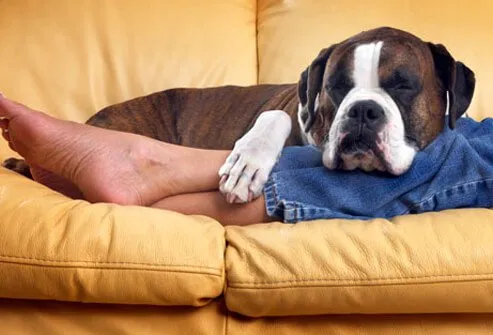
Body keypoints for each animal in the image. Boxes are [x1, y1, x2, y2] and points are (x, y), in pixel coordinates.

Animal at [2, 26, 472, 202]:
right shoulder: (285, 110)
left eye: (403, 85)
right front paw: (248, 163)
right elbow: (274, 118)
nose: (362, 110)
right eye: (337, 86)